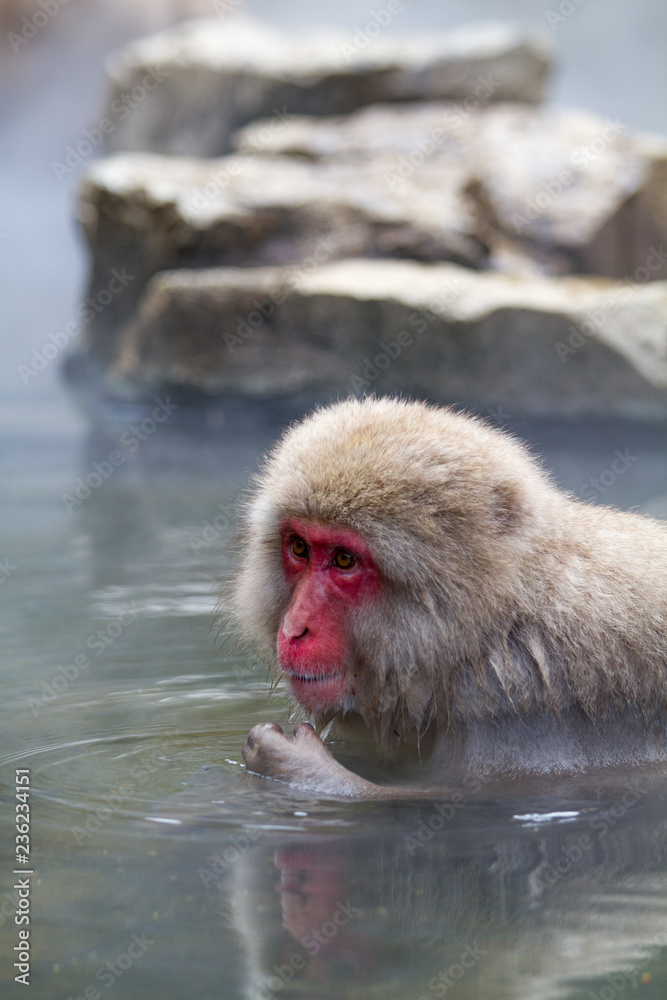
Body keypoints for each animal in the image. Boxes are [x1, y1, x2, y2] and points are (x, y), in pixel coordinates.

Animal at [231, 396, 667, 798]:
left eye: (343, 559)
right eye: (299, 547)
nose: (293, 629)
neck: (495, 622)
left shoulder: (518, 697)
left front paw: (293, 762)